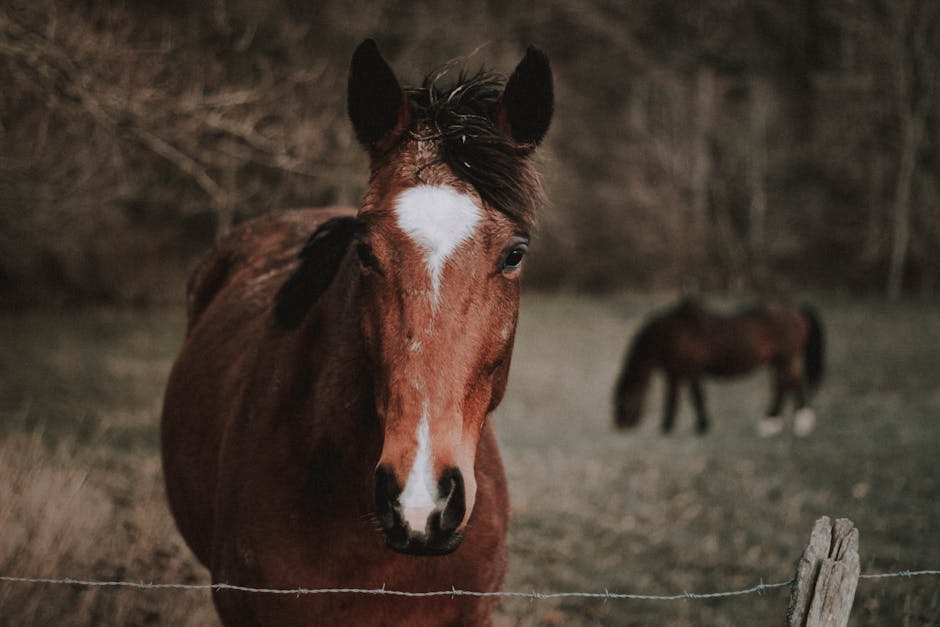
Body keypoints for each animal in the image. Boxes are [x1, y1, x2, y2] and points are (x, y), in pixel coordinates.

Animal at [608, 298, 824, 436]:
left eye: (624, 400)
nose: (619, 426)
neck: (670, 335)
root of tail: (794, 310)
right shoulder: (674, 374)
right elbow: (672, 399)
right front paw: (667, 427)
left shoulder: (692, 371)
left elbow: (696, 397)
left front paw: (702, 426)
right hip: (777, 362)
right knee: (782, 386)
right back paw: (771, 423)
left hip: (786, 359)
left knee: (794, 384)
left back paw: (802, 423)